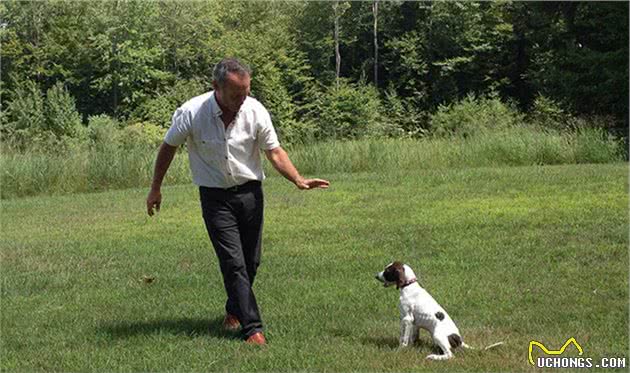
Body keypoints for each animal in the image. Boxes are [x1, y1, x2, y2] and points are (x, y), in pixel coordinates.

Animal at [376, 260, 504, 358]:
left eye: (387, 270)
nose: (376, 276)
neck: (409, 285)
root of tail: (459, 340)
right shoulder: (414, 323)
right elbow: (413, 337)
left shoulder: (407, 319)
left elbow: (403, 338)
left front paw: (400, 349)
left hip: (437, 335)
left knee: (450, 355)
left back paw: (434, 357)